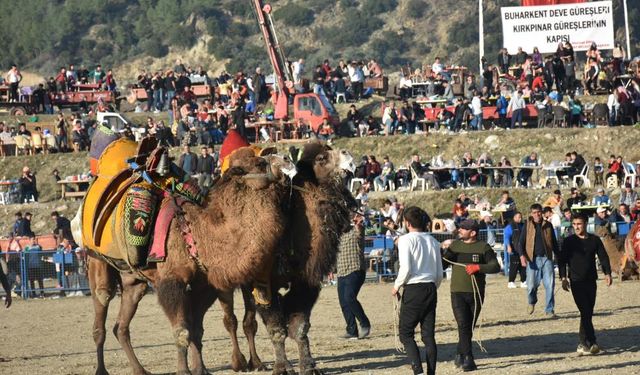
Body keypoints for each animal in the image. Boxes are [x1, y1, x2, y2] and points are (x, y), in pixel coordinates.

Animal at [81, 152, 296, 375]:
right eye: (260, 162)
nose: (288, 158)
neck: (197, 235)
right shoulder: (172, 282)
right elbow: (182, 331)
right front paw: (184, 370)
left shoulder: (203, 285)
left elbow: (196, 330)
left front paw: (200, 369)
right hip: (96, 261)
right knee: (101, 310)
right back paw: (101, 370)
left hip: (133, 281)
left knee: (122, 325)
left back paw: (140, 370)